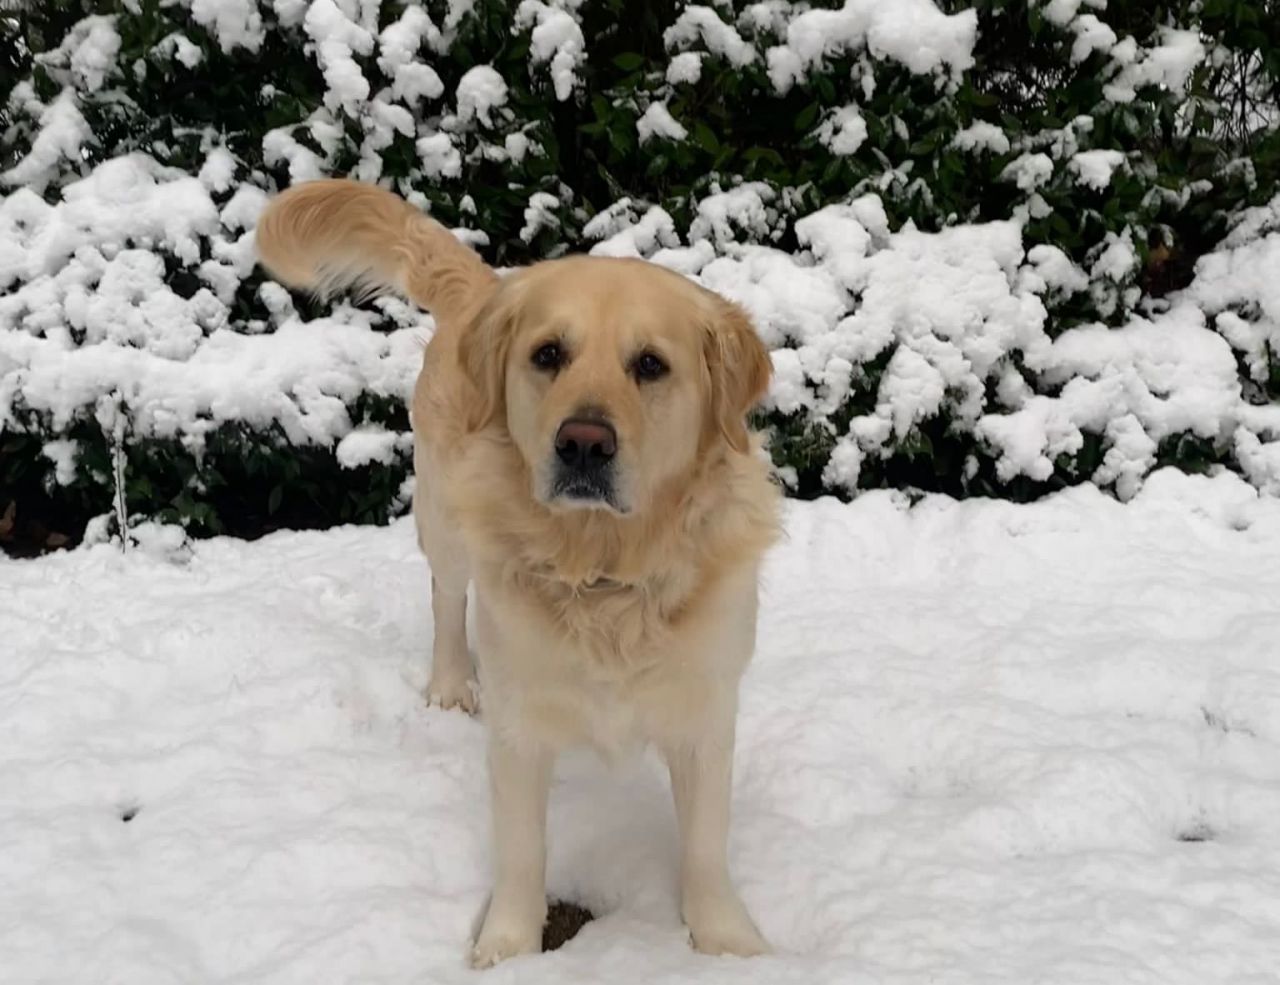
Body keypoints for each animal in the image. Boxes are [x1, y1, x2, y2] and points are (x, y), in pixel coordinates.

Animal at [254, 180, 778, 961]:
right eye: (548, 353)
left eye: (651, 365)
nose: (583, 443)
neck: (604, 573)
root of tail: (489, 288)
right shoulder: (520, 724)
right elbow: (522, 850)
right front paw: (507, 948)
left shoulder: (706, 711)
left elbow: (706, 848)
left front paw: (728, 943)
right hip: (444, 520)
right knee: (446, 598)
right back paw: (448, 685)